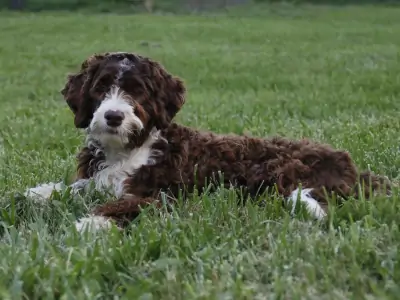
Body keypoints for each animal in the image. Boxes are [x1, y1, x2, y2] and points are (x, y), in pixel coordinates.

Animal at [24, 51, 390, 230]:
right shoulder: (95, 181)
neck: (129, 150)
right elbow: (68, 188)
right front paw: (35, 195)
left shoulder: (164, 197)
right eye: (101, 87)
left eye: (138, 91)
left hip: (284, 172)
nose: (113, 116)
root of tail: (349, 164)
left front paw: (90, 223)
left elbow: (122, 206)